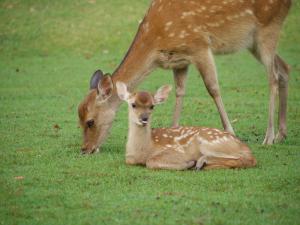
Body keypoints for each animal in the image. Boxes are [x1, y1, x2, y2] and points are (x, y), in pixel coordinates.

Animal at [77, 0, 290, 155]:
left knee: (272, 77)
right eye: (78, 119)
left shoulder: (200, 45)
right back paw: (281, 134)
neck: (156, 42)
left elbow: (213, 88)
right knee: (284, 69)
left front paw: (230, 133)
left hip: (268, 27)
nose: (85, 149)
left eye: (90, 121)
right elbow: (179, 92)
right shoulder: (179, 60)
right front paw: (172, 136)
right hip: (252, 42)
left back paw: (269, 137)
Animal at [116, 82, 256, 171]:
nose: (144, 118)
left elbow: (150, 162)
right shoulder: (129, 159)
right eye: (133, 104)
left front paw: (188, 163)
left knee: (247, 159)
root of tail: (244, 146)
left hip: (209, 143)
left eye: (152, 106)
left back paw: (200, 162)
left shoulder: (176, 150)